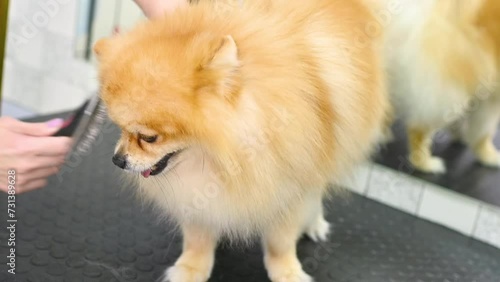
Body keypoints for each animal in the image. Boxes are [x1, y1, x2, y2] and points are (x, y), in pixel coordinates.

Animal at [94, 1, 390, 280]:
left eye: (149, 137)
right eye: (119, 129)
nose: (117, 159)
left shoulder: (290, 181)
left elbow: (281, 240)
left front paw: (287, 272)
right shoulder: (198, 193)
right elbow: (198, 235)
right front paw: (191, 267)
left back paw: (314, 222)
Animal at [380, 0, 498, 173]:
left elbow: (480, 132)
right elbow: (482, 132)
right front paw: (490, 155)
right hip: (450, 90)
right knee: (417, 127)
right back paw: (425, 163)